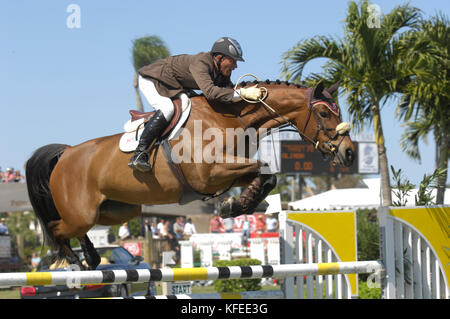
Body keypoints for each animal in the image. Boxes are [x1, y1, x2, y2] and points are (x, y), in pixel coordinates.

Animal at [24, 79, 356, 270]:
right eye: (324, 113)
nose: (349, 153)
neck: (230, 117)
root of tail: (66, 152)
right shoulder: (209, 174)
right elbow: (264, 169)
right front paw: (235, 205)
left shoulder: (228, 171)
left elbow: (266, 175)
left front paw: (237, 205)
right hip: (82, 212)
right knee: (55, 228)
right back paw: (70, 259)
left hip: (117, 210)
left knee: (76, 228)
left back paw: (91, 257)